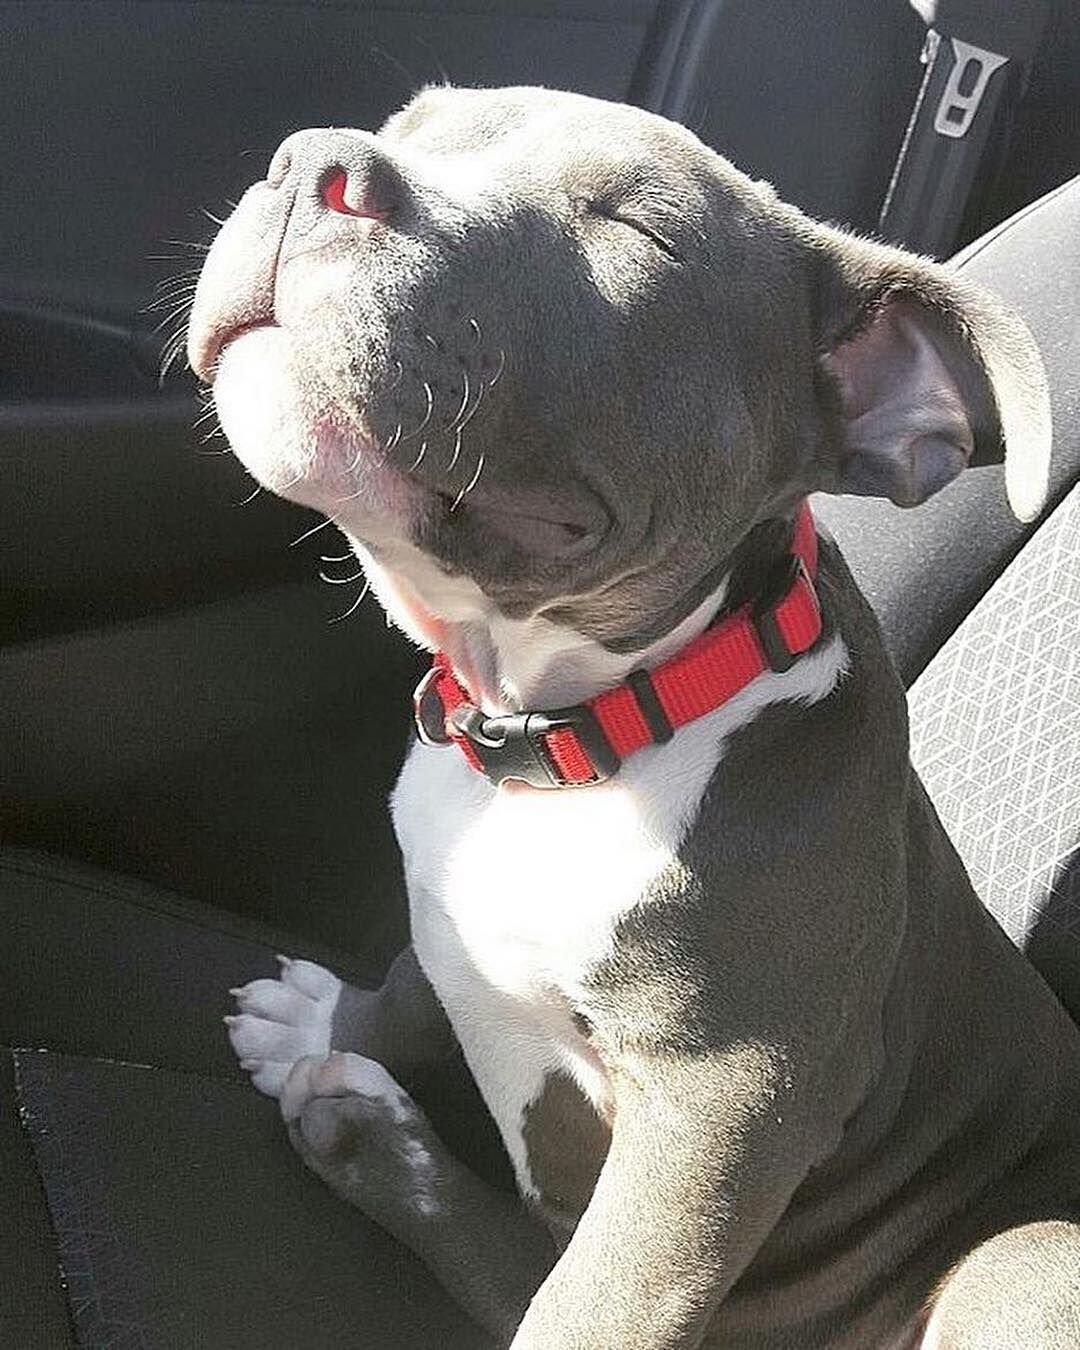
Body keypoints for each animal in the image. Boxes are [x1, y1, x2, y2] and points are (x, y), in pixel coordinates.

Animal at [190, 87, 1080, 1348]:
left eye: (638, 232)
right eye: (410, 125)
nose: (317, 165)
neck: (567, 734)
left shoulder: (724, 1114)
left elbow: (591, 1305)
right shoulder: (447, 897)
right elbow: (412, 983)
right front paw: (329, 1032)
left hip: (1028, 1263)